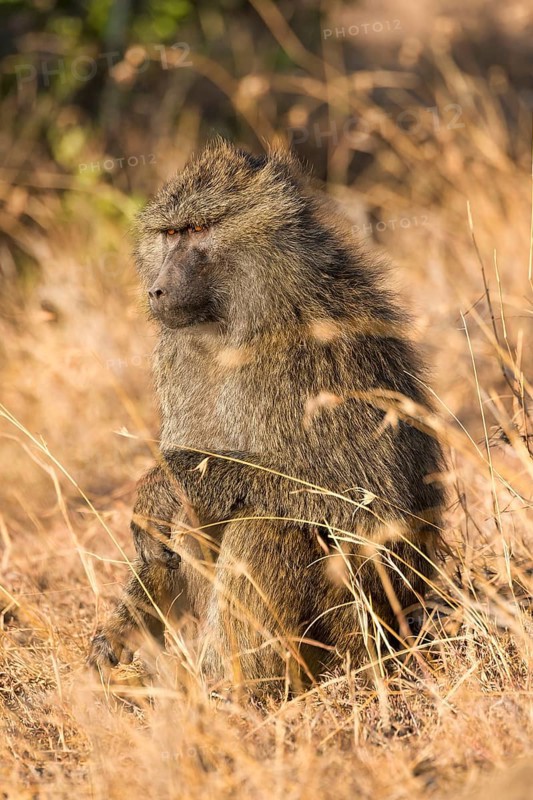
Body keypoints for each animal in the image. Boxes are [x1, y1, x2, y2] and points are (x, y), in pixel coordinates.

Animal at [88, 139, 445, 694]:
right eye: (169, 234)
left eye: (198, 230)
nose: (158, 290)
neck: (233, 325)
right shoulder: (175, 356)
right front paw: (124, 625)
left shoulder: (318, 357)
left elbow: (371, 504)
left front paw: (164, 481)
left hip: (356, 631)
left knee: (267, 521)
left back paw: (231, 693)